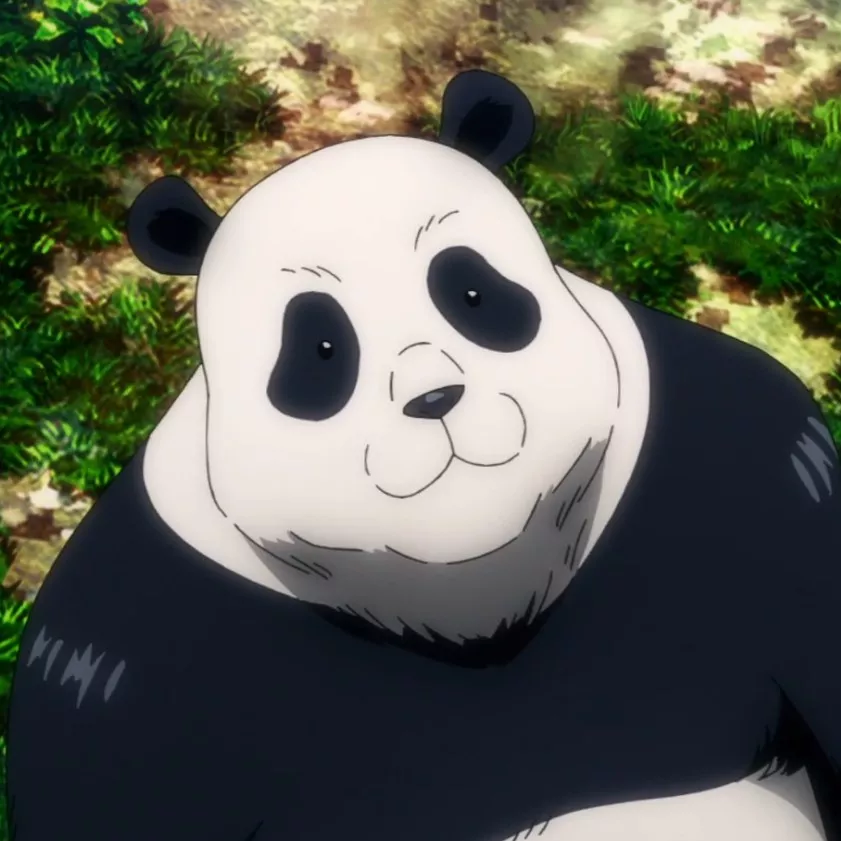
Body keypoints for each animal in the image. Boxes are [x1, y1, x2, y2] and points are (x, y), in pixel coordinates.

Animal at [6, 69, 841, 841]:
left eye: (469, 294)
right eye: (321, 346)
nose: (434, 397)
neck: (473, 581)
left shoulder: (747, 466)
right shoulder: (132, 650)